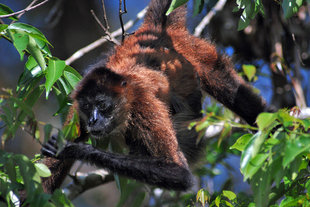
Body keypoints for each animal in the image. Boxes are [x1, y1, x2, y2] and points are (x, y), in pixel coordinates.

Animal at [40, 0, 268, 193]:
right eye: (88, 107)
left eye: (102, 105)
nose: (94, 120)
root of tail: (155, 31)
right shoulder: (78, 111)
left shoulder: (143, 103)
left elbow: (179, 173)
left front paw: (76, 150)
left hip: (198, 53)